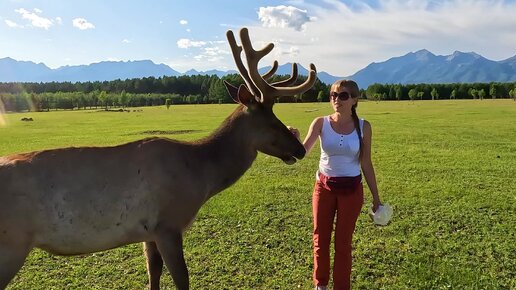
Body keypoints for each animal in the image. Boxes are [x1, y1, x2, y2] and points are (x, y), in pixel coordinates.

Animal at [0, 27, 314, 290]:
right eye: (272, 121)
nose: (300, 149)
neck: (200, 176)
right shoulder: (168, 224)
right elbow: (182, 278)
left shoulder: (148, 232)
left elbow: (153, 274)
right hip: (12, 242)